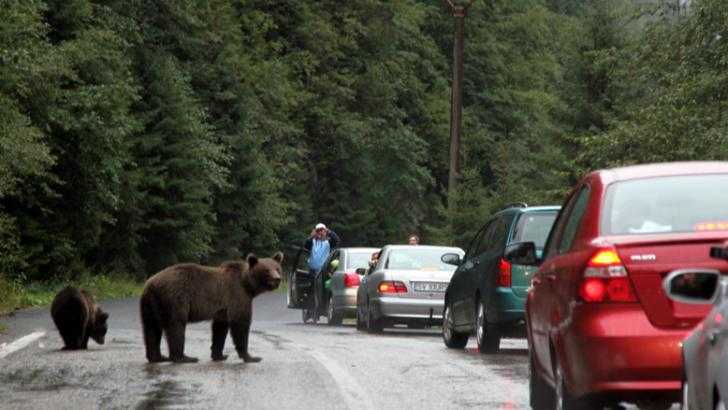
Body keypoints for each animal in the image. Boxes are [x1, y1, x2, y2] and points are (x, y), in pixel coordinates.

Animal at [141, 251, 282, 364]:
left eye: (277, 268)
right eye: (266, 270)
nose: (277, 279)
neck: (248, 285)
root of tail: (151, 283)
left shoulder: (223, 308)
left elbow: (220, 328)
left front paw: (219, 355)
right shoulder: (237, 295)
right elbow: (240, 323)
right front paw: (251, 357)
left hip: (150, 304)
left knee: (151, 328)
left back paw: (158, 357)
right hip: (175, 298)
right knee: (176, 325)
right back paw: (184, 358)